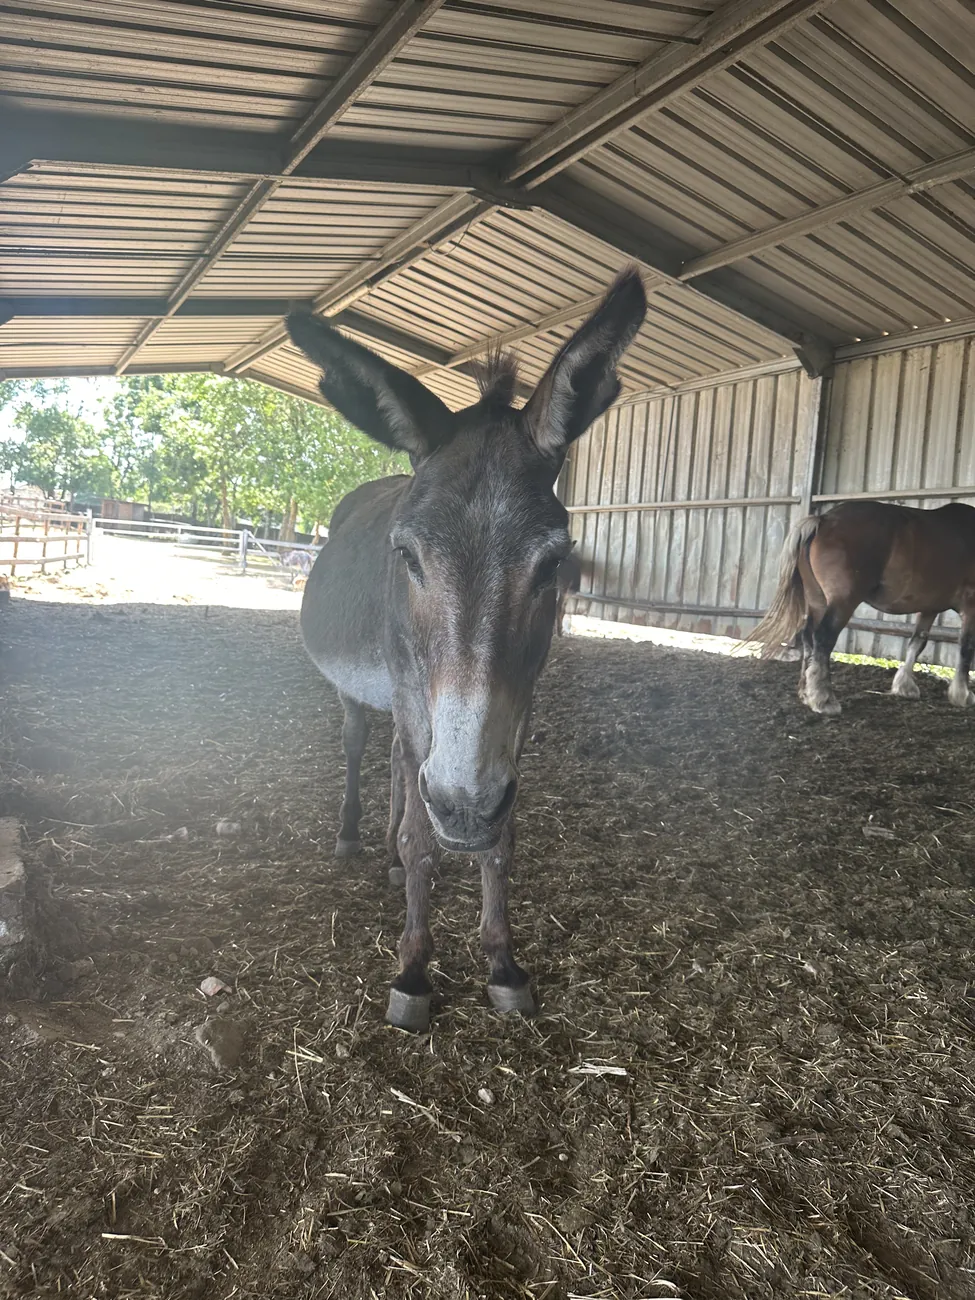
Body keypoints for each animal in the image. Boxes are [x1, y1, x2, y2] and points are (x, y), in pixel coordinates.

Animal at [287, 269, 647, 1031]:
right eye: (406, 555)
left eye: (553, 563)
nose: (465, 808)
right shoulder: (418, 695)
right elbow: (425, 839)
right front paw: (414, 971)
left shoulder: (517, 705)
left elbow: (500, 840)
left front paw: (503, 963)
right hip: (369, 690)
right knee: (362, 744)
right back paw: (356, 837)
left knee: (402, 765)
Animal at [748, 500, 975, 715]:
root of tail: (824, 520)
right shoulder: (970, 605)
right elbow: (966, 646)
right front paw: (962, 694)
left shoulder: (930, 608)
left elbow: (917, 642)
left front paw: (905, 686)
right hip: (843, 602)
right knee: (823, 638)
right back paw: (824, 699)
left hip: (817, 600)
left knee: (808, 637)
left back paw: (806, 692)